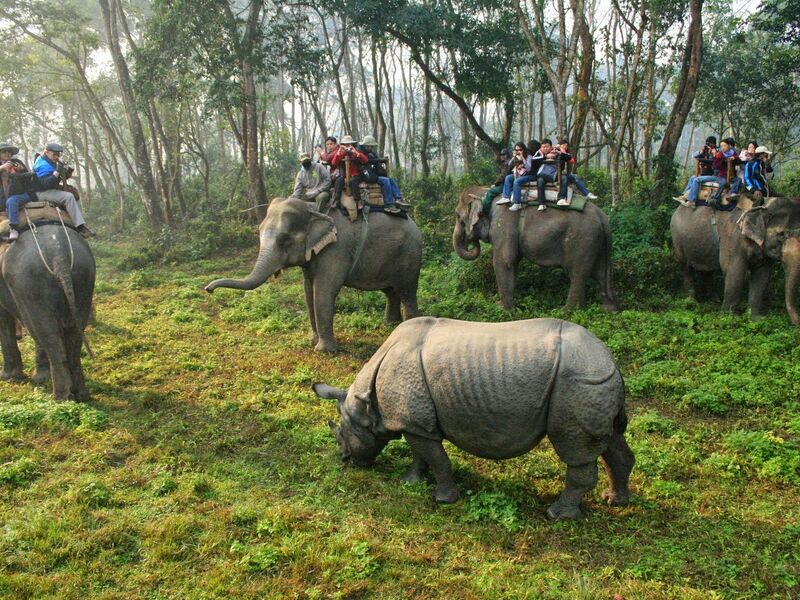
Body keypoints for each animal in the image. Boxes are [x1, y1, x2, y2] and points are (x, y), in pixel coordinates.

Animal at [0, 223, 95, 400]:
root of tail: (58, 253)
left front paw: (9, 377)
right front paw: (41, 377)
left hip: (28, 284)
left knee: (45, 332)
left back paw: (61, 398)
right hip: (84, 276)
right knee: (74, 332)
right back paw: (80, 395)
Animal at [203, 197, 422, 352]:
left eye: (284, 239)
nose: (208, 289)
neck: (313, 208)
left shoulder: (336, 249)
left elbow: (323, 291)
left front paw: (324, 351)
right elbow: (308, 291)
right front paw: (312, 341)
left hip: (409, 256)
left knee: (406, 291)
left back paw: (409, 326)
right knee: (391, 291)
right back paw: (390, 324)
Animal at [316, 316, 636, 516]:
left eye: (342, 433)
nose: (345, 460)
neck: (365, 403)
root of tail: (610, 359)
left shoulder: (414, 419)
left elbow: (438, 459)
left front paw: (443, 499)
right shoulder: (415, 421)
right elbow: (421, 453)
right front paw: (411, 481)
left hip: (579, 383)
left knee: (575, 450)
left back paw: (558, 515)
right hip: (594, 383)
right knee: (610, 441)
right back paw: (615, 501)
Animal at [450, 186, 620, 310]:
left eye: (458, 216)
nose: (470, 239)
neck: (485, 193)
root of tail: (602, 216)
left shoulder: (503, 223)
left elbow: (503, 261)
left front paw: (502, 310)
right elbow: (513, 263)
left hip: (582, 239)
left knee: (578, 274)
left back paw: (566, 311)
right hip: (598, 243)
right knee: (601, 273)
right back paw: (610, 310)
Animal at [672, 196, 800, 324]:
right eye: (781, 234)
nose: (795, 323)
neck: (763, 206)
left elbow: (762, 276)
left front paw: (756, 319)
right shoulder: (733, 238)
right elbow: (734, 272)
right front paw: (728, 318)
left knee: (707, 271)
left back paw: (714, 301)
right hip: (678, 240)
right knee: (686, 268)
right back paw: (692, 303)